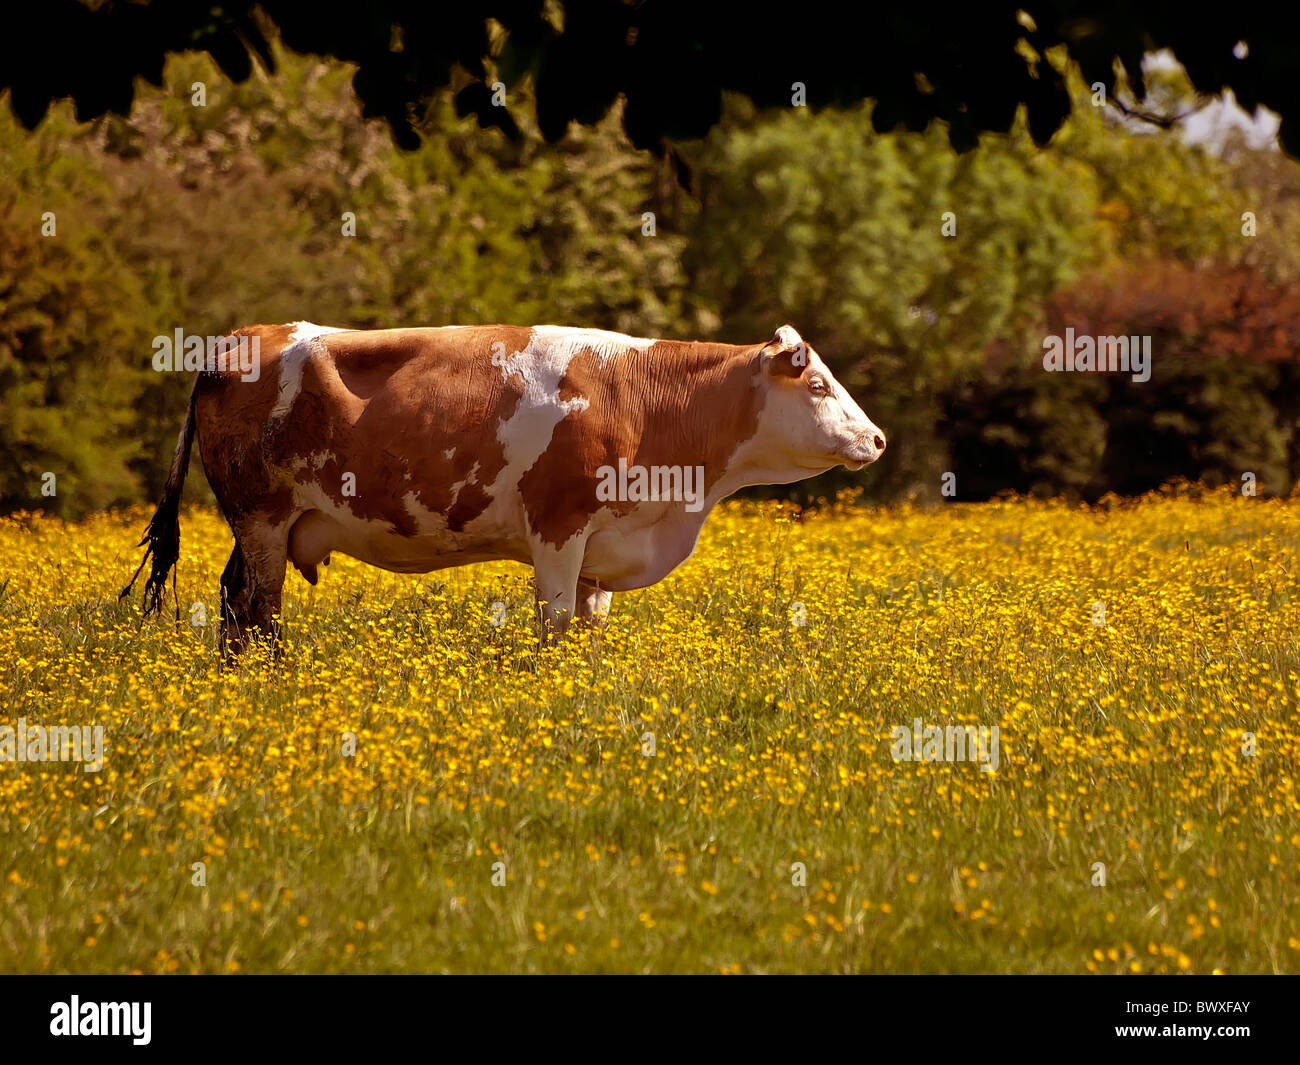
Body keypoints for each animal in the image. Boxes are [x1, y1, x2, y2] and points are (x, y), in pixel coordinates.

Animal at [121, 322, 886, 652]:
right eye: (819, 384)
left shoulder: (602, 547)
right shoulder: (558, 528)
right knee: (260, 609)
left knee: (232, 603)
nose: (877, 439)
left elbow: (586, 629)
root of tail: (239, 339)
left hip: (259, 525)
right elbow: (554, 624)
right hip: (262, 518)